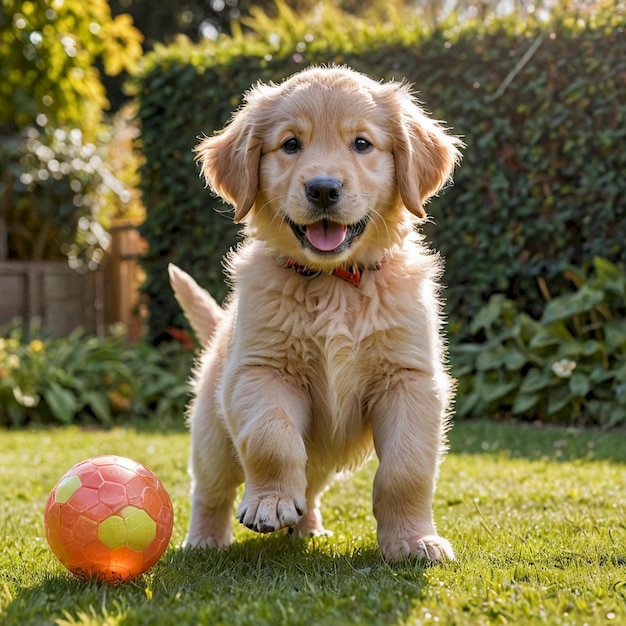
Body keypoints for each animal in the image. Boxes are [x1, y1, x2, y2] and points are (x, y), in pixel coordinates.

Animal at [168, 64, 460, 560]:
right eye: (290, 144)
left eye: (361, 143)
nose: (323, 189)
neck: (334, 281)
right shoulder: (260, 371)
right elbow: (272, 438)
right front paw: (270, 502)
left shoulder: (409, 380)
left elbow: (406, 470)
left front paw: (413, 541)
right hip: (212, 434)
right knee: (211, 489)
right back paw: (205, 540)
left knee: (311, 483)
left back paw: (307, 527)